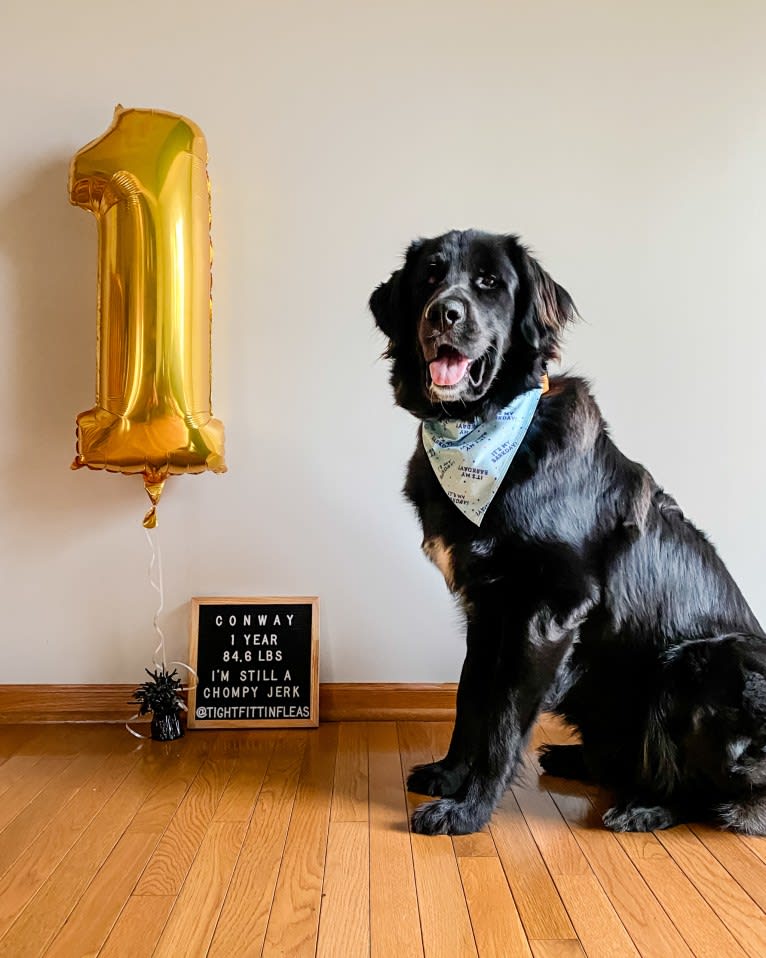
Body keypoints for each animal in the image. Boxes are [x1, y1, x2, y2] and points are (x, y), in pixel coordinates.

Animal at [372, 229, 766, 836]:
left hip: (701, 662)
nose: (444, 313)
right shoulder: (486, 610)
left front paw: (468, 809)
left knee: (712, 794)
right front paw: (448, 774)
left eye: (489, 282)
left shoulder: (547, 611)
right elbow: (469, 700)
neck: (488, 430)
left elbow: (503, 722)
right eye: (431, 276)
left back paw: (643, 807)